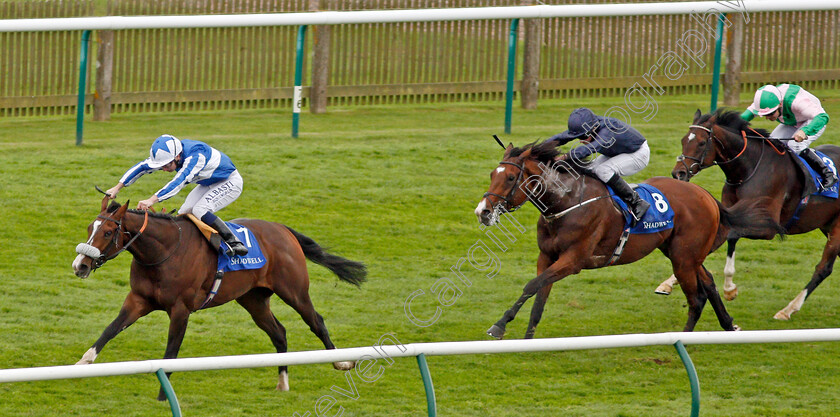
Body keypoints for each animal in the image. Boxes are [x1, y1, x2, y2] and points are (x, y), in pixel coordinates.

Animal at [74, 197, 370, 398]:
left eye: (108, 232)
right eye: (89, 227)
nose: (80, 266)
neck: (163, 252)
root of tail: (283, 229)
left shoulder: (181, 309)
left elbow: (170, 353)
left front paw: (162, 396)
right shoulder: (138, 300)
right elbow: (109, 330)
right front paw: (81, 364)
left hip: (295, 291)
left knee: (316, 321)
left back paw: (342, 361)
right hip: (253, 299)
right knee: (279, 332)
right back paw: (282, 382)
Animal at [476, 140, 776, 338]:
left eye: (511, 177)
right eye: (491, 174)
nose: (483, 212)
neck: (565, 202)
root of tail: (707, 196)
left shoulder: (573, 261)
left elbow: (531, 286)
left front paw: (498, 326)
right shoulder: (547, 256)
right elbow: (538, 296)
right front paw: (527, 339)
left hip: (683, 258)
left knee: (696, 298)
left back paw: (684, 339)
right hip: (683, 253)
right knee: (709, 283)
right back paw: (729, 324)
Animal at [668, 109, 840, 318]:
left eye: (701, 143)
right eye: (684, 140)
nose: (678, 174)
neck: (748, 170)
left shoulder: (768, 228)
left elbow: (731, 236)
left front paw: (729, 289)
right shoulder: (729, 215)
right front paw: (669, 282)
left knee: (824, 268)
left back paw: (788, 309)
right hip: (826, 224)